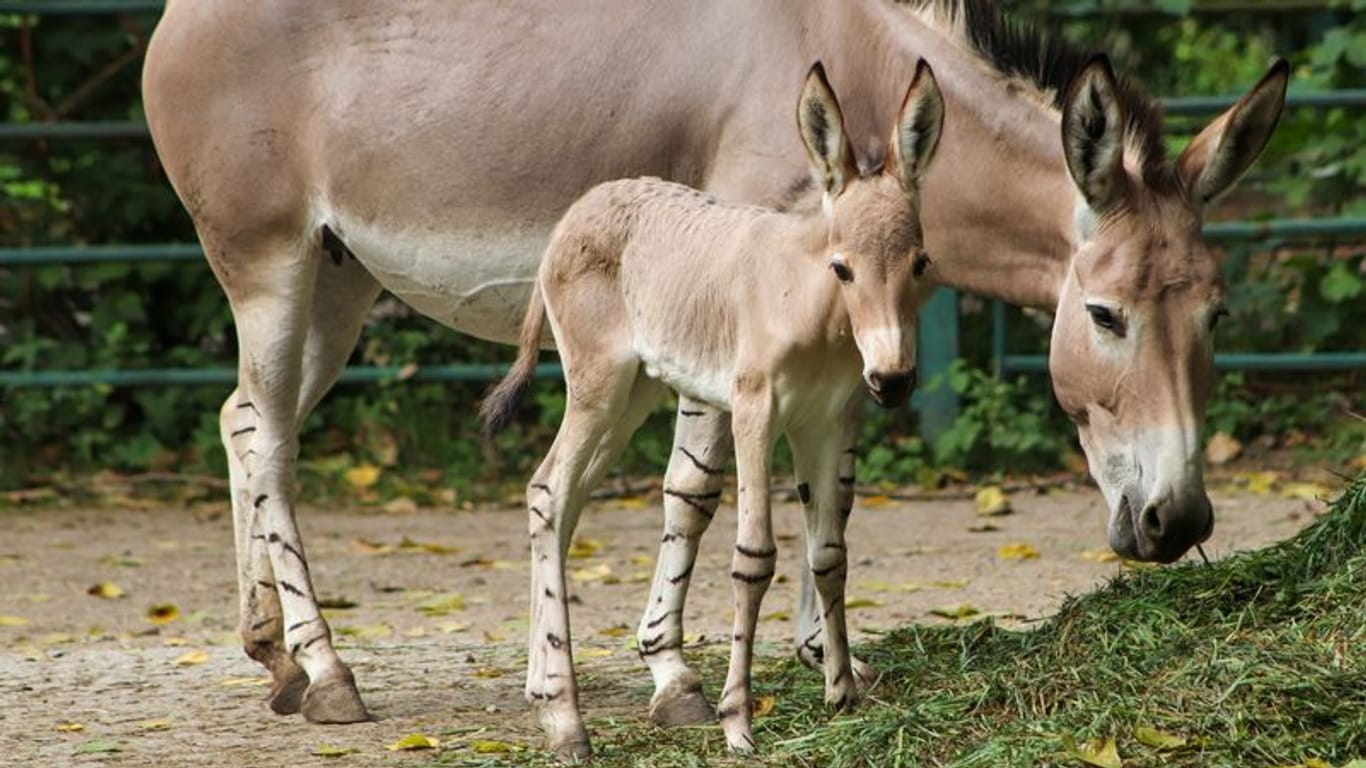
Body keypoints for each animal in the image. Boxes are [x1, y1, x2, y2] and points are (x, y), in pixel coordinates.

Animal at [486, 62, 945, 754]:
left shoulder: (827, 421)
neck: (809, 304)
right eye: (842, 268)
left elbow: (829, 553)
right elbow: (755, 558)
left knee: (560, 502)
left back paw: (542, 693)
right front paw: (738, 721)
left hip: (633, 395)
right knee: (549, 490)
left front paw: (842, 695)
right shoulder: (755, 411)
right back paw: (566, 721)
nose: (892, 381)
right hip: (597, 387)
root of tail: (580, 210)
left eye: (919, 263)